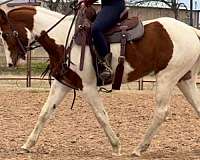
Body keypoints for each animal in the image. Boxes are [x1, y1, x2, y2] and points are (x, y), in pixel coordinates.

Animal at [1, 5, 200, 156]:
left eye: (5, 34)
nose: (11, 63)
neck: (65, 38)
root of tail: (192, 30)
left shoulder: (87, 87)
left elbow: (101, 115)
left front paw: (116, 146)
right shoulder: (63, 84)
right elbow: (45, 112)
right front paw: (27, 145)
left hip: (167, 78)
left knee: (160, 112)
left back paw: (139, 148)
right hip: (185, 80)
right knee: (197, 106)